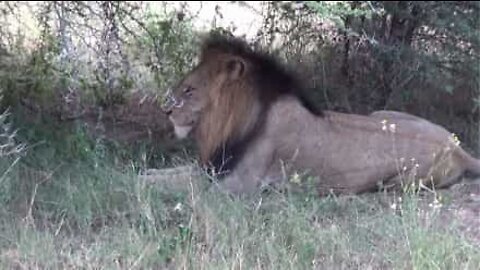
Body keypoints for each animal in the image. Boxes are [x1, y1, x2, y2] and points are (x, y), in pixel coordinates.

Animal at [162, 33, 480, 196]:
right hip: (382, 112)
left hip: (401, 182)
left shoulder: (235, 184)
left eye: (189, 90)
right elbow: (164, 173)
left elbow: (173, 183)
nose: (165, 110)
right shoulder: (212, 168)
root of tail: (458, 148)